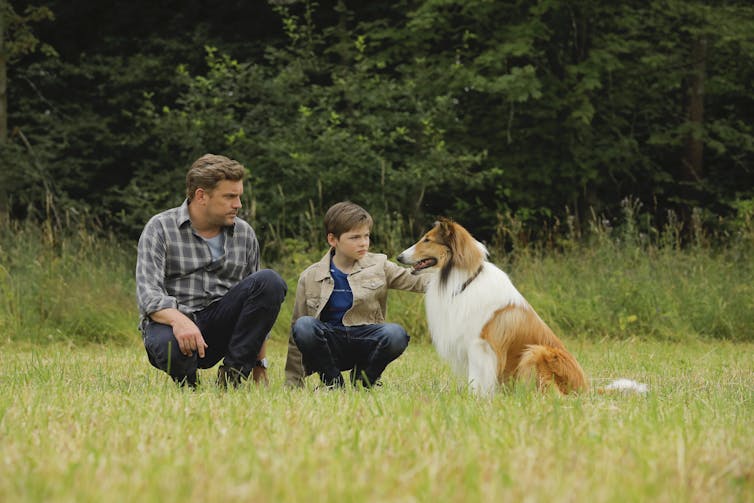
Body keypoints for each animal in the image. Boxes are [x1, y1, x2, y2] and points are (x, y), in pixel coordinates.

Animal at [396, 219, 592, 396]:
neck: (466, 280)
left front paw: (474, 399)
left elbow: (476, 379)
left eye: (427, 240)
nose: (398, 257)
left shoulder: (479, 346)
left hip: (536, 352)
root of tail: (585, 389)